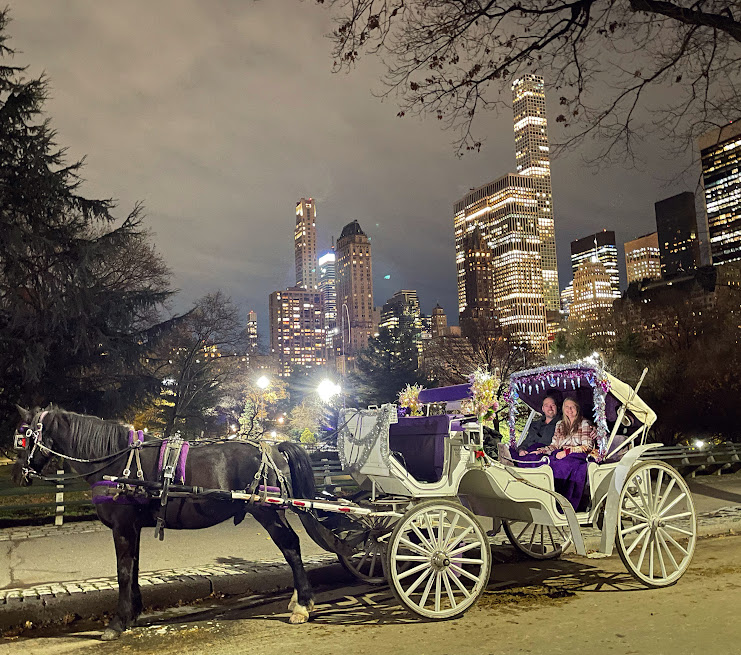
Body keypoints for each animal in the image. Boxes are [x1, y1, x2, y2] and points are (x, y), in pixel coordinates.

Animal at [11, 408, 326, 644]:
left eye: (22, 438)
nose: (18, 476)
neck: (117, 463)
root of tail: (273, 447)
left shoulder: (121, 527)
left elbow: (123, 572)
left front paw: (117, 622)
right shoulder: (132, 527)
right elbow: (133, 568)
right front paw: (133, 614)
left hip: (266, 512)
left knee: (291, 547)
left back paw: (302, 604)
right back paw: (300, 599)